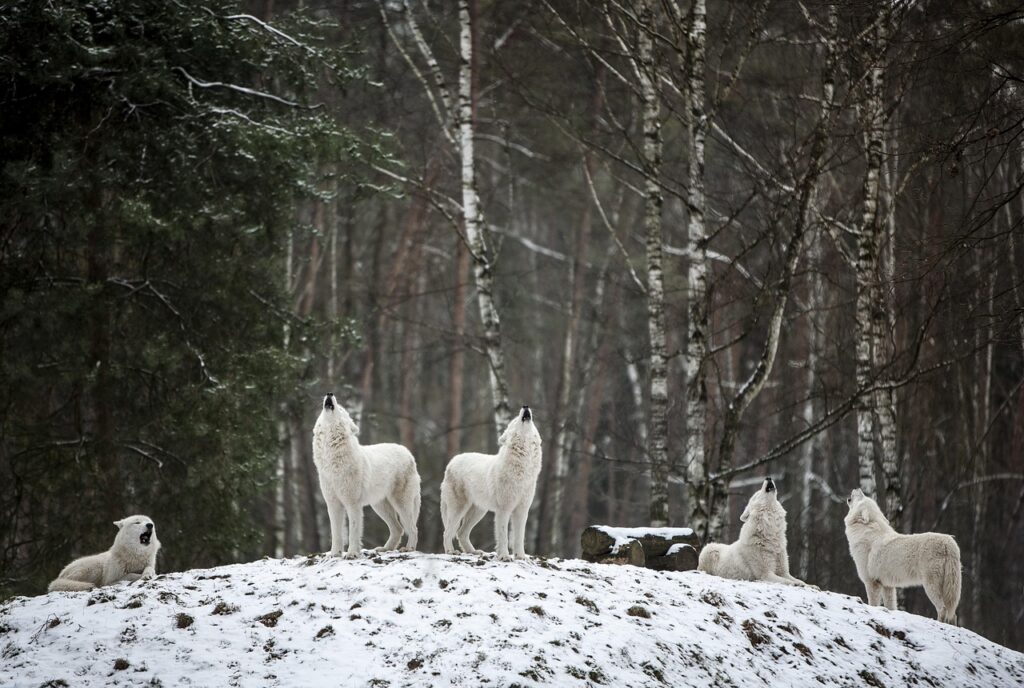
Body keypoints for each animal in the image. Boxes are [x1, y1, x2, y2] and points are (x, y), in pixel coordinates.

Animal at [312, 393, 421, 558]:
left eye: (341, 409)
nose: (329, 394)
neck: (331, 460)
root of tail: (408, 453)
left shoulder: (353, 504)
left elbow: (353, 531)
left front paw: (352, 553)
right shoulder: (333, 504)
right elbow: (336, 533)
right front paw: (335, 554)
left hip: (401, 504)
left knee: (413, 528)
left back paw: (408, 549)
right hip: (380, 506)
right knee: (398, 528)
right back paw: (385, 549)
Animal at [441, 406, 542, 561]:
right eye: (514, 421)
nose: (525, 406)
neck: (523, 468)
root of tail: (452, 462)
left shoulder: (522, 510)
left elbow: (519, 537)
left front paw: (520, 556)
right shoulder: (503, 510)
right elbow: (503, 536)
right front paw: (504, 556)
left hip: (478, 512)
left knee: (461, 533)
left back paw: (474, 552)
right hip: (459, 509)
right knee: (447, 532)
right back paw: (451, 552)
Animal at [844, 489, 961, 624]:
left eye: (862, 497)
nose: (857, 489)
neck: (866, 531)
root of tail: (948, 542)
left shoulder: (871, 582)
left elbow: (872, 604)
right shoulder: (887, 586)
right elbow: (891, 607)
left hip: (930, 585)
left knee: (943, 609)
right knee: (953, 614)